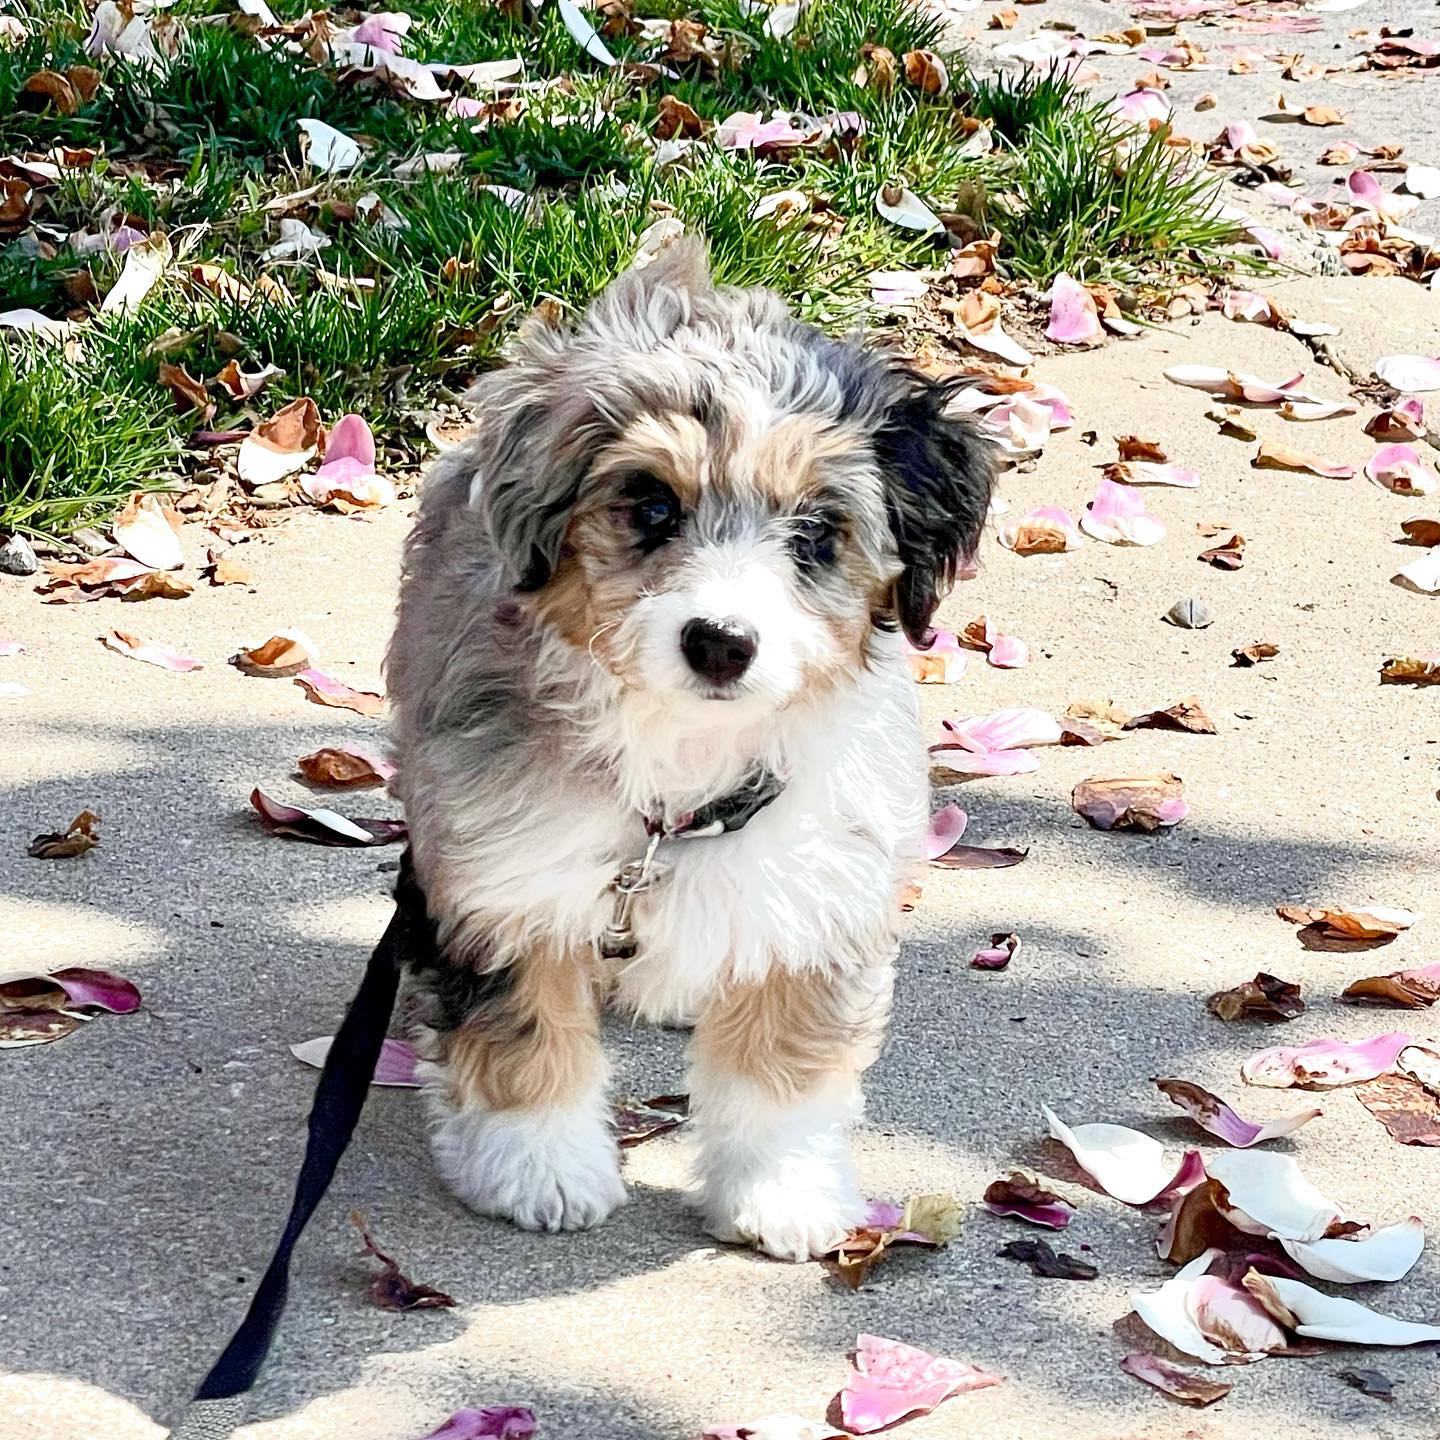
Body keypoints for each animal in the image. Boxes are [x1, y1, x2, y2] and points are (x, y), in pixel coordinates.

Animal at [383, 244, 990, 1261]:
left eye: (818, 533)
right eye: (653, 505)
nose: (720, 643)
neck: (682, 772)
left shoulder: (820, 899)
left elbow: (782, 1069)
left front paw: (779, 1193)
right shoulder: (499, 884)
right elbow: (524, 1033)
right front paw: (540, 1169)